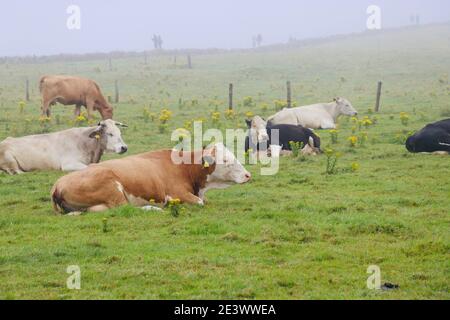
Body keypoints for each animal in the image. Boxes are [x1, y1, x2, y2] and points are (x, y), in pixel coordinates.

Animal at [51, 143, 253, 215]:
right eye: (225, 160)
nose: (248, 175)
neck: (184, 167)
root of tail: (57, 185)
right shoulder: (178, 193)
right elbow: (198, 202)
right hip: (112, 187)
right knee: (125, 207)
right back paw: (152, 208)